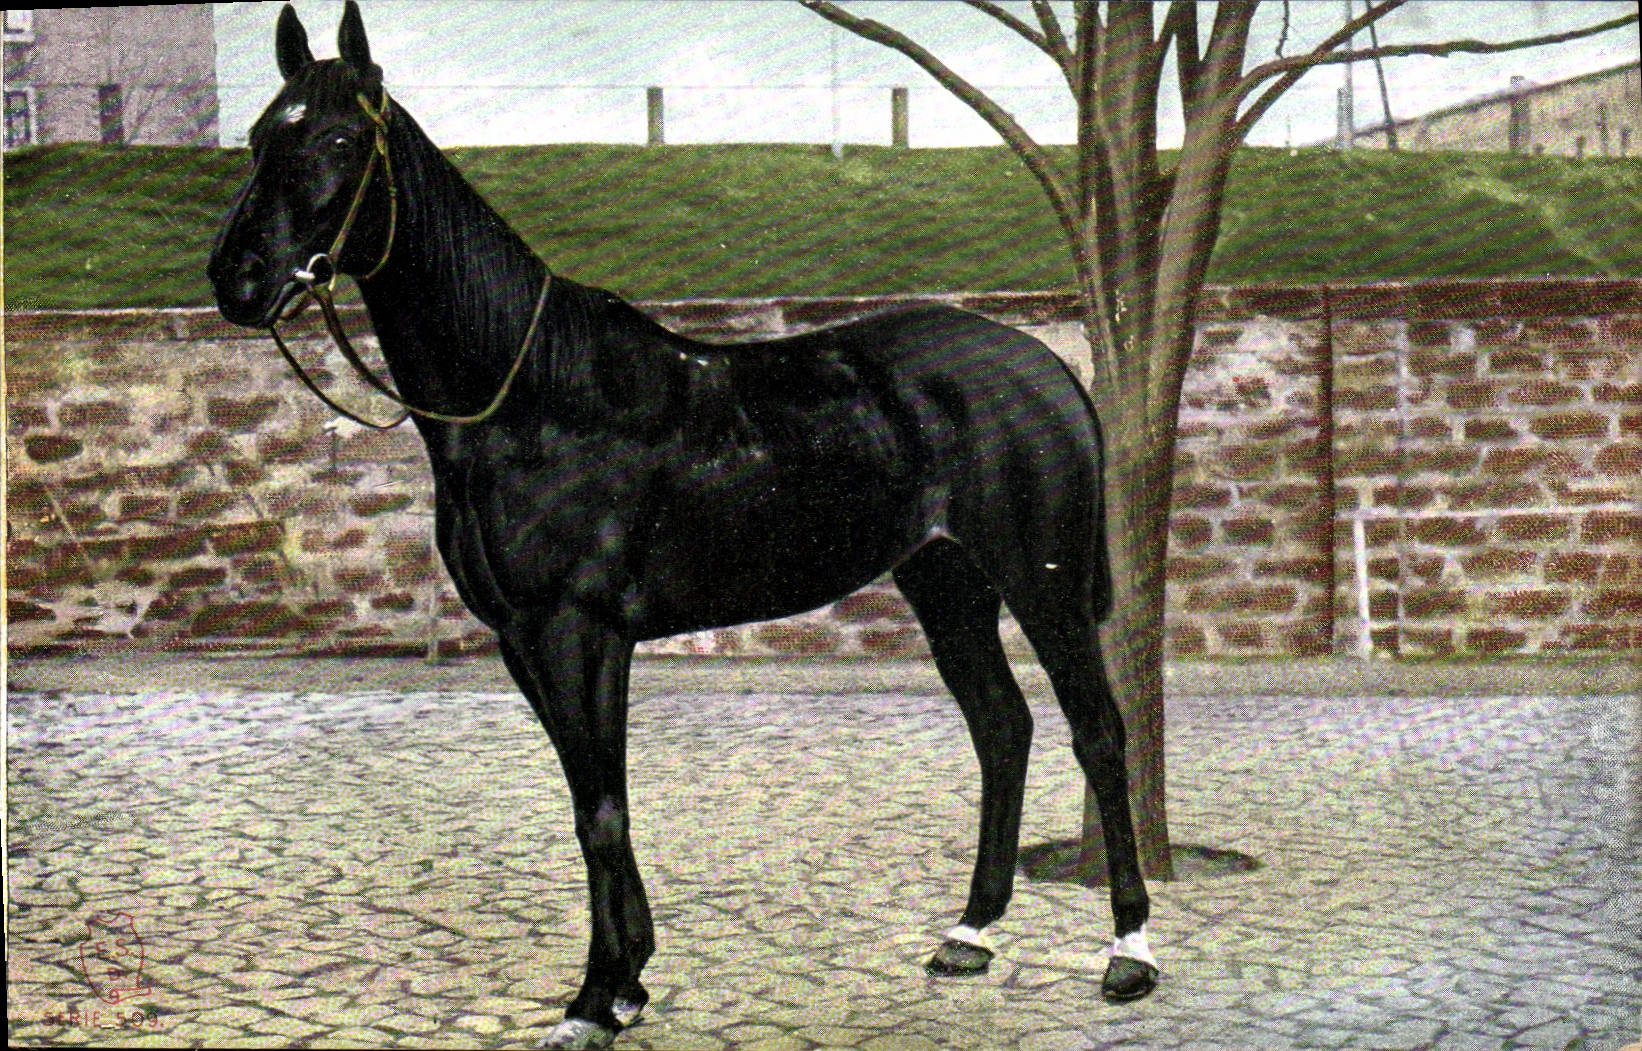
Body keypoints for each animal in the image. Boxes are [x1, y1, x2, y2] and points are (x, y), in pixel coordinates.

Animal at [207, 4, 1156, 1047]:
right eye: (258, 135)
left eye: (339, 139)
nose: (236, 279)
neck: (532, 398)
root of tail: (1046, 367)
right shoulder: (523, 640)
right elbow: (590, 797)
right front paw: (627, 981)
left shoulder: (580, 633)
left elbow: (601, 809)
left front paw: (594, 998)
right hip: (946, 580)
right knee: (1003, 727)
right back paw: (970, 933)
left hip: (1040, 577)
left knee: (1096, 731)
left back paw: (1129, 953)